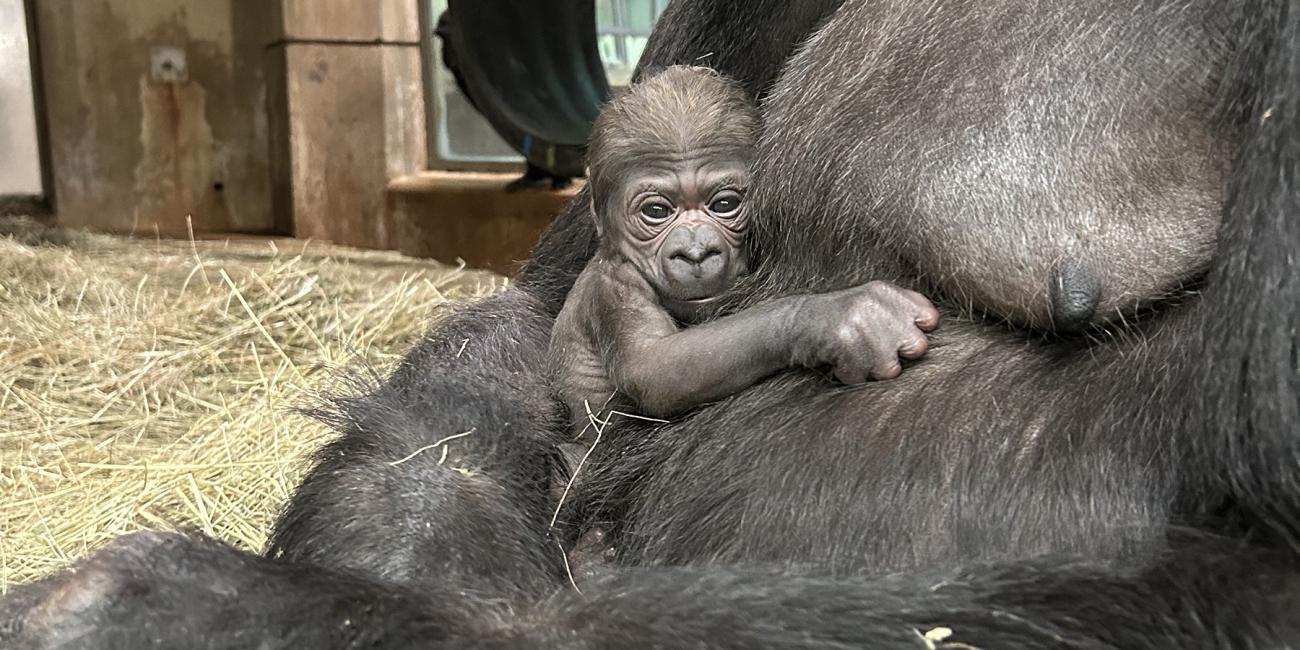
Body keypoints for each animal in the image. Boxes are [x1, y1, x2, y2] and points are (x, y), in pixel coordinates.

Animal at [546, 63, 935, 423]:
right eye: (656, 211)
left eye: (724, 204)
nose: (696, 252)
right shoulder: (613, 288)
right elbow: (654, 367)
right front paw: (833, 316)